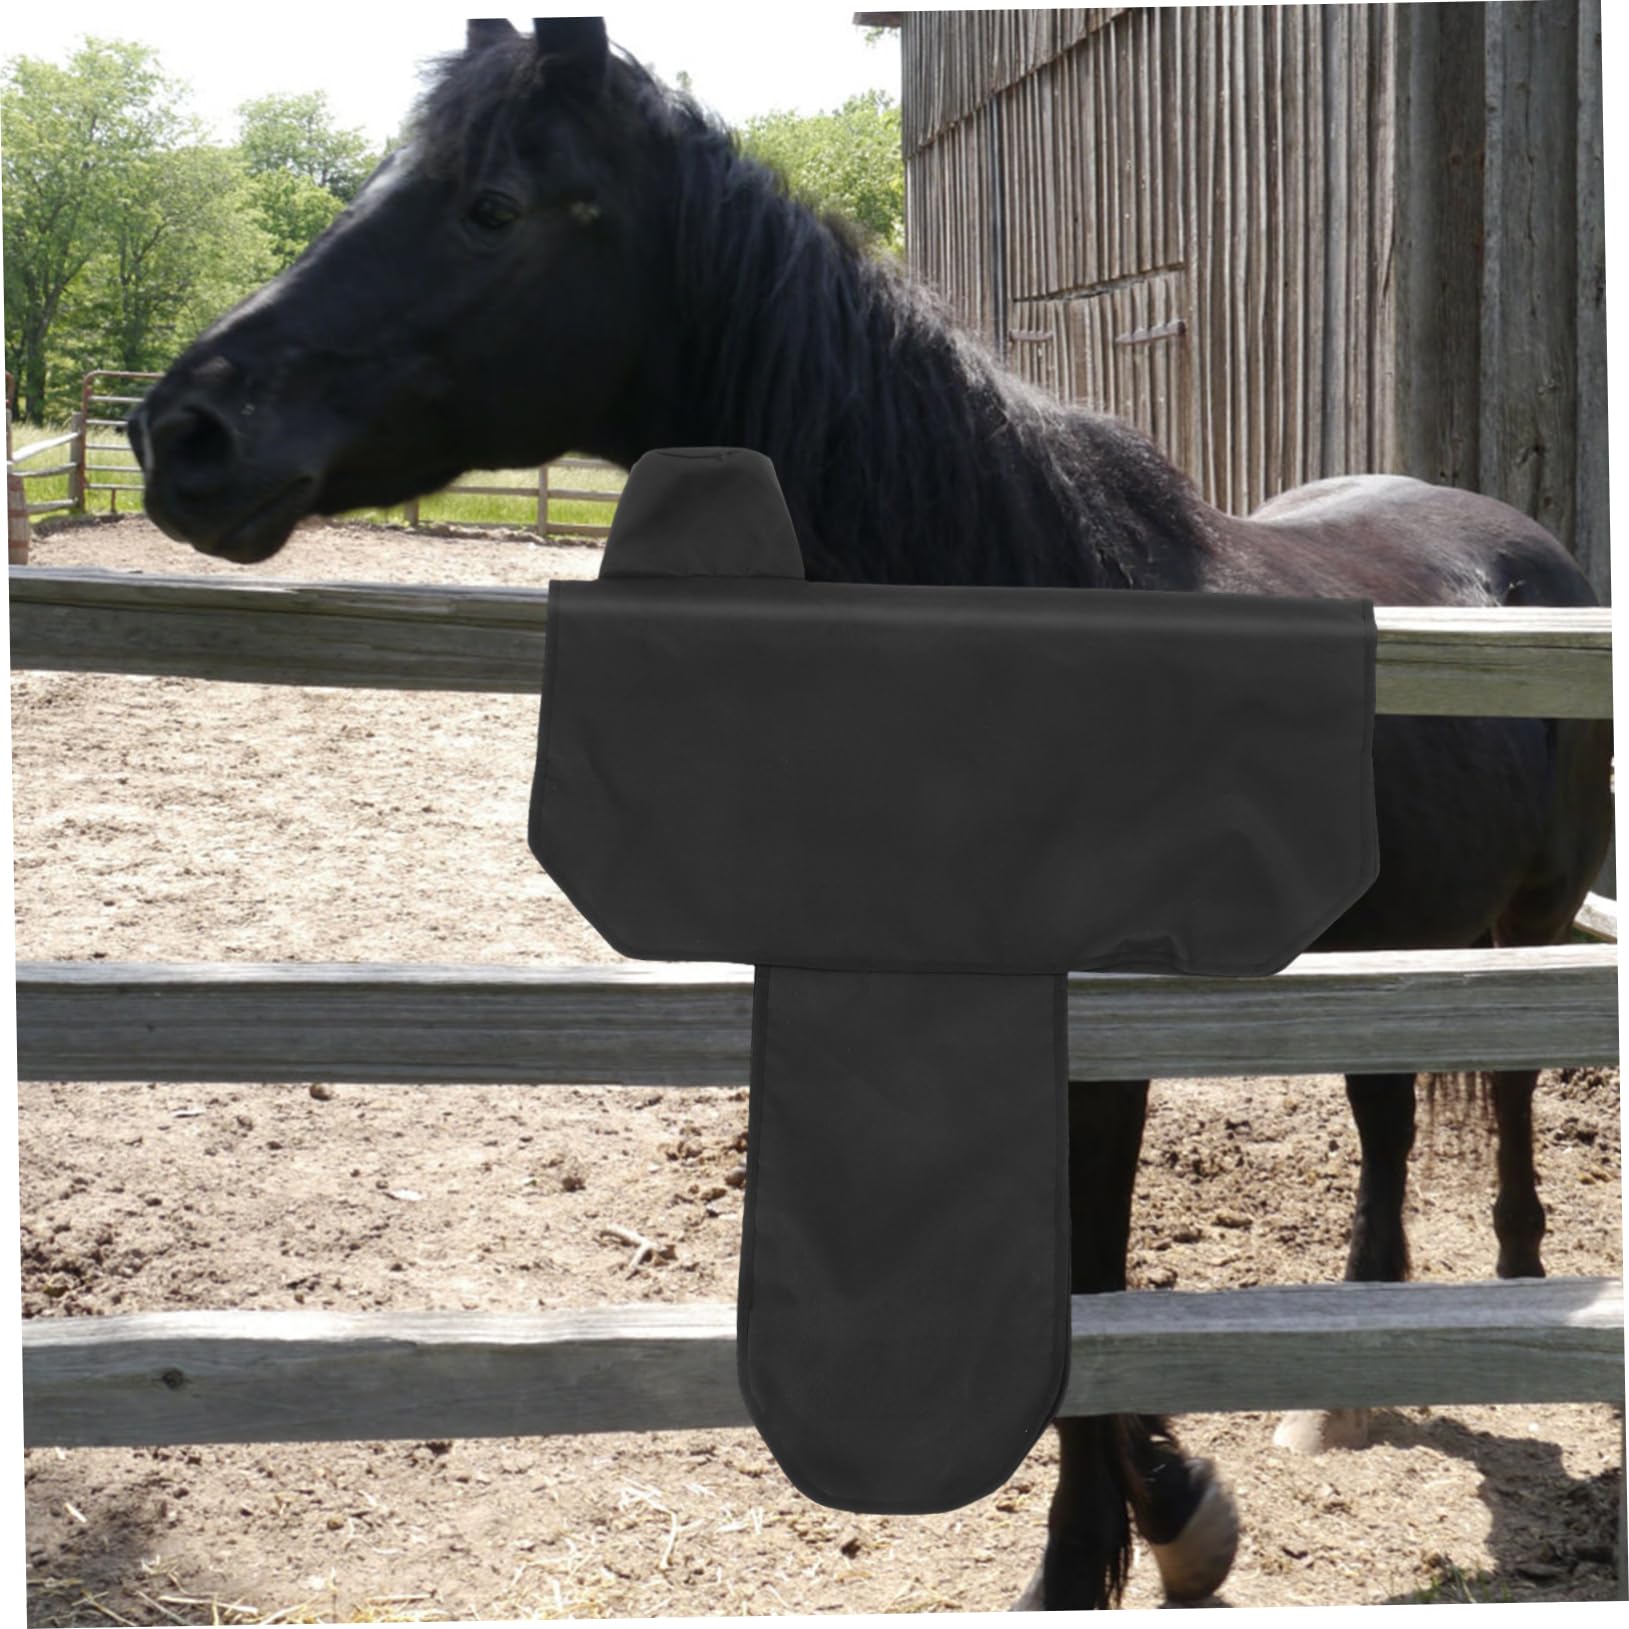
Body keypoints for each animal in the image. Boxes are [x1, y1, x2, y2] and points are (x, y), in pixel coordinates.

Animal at [126, 17, 1612, 1611]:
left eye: (491, 208)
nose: (182, 431)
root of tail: (1522, 549)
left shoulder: (1103, 1042)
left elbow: (1085, 1279)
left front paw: (1100, 1553)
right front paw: (1171, 1504)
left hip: (1523, 923)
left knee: (1507, 1096)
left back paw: (1516, 1302)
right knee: (1388, 1113)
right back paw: (1345, 1381)